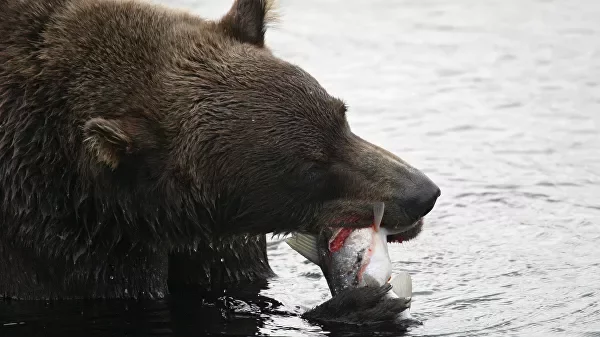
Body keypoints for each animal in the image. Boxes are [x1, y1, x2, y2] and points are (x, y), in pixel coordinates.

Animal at [0, 0, 440, 322]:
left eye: (341, 116)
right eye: (310, 167)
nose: (422, 194)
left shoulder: (214, 241)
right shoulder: (63, 244)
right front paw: (361, 304)